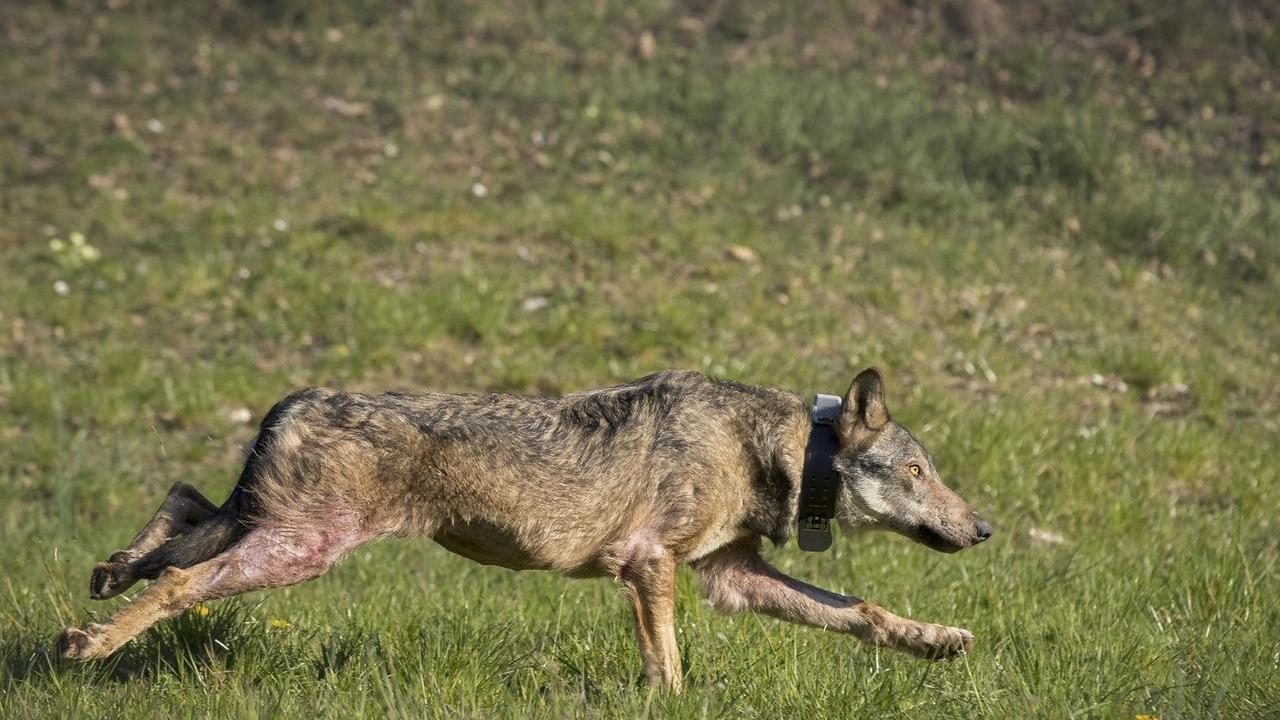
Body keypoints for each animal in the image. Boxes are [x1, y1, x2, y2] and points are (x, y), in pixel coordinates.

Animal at [59, 368, 991, 690]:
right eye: (918, 472)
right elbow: (669, 670)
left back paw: (106, 581)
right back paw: (89, 645)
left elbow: (862, 610)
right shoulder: (648, 563)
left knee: (177, 509)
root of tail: (291, 402)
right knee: (180, 578)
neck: (776, 449)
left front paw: (938, 640)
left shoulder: (732, 577)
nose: (983, 529)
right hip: (296, 551)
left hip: (264, 530)